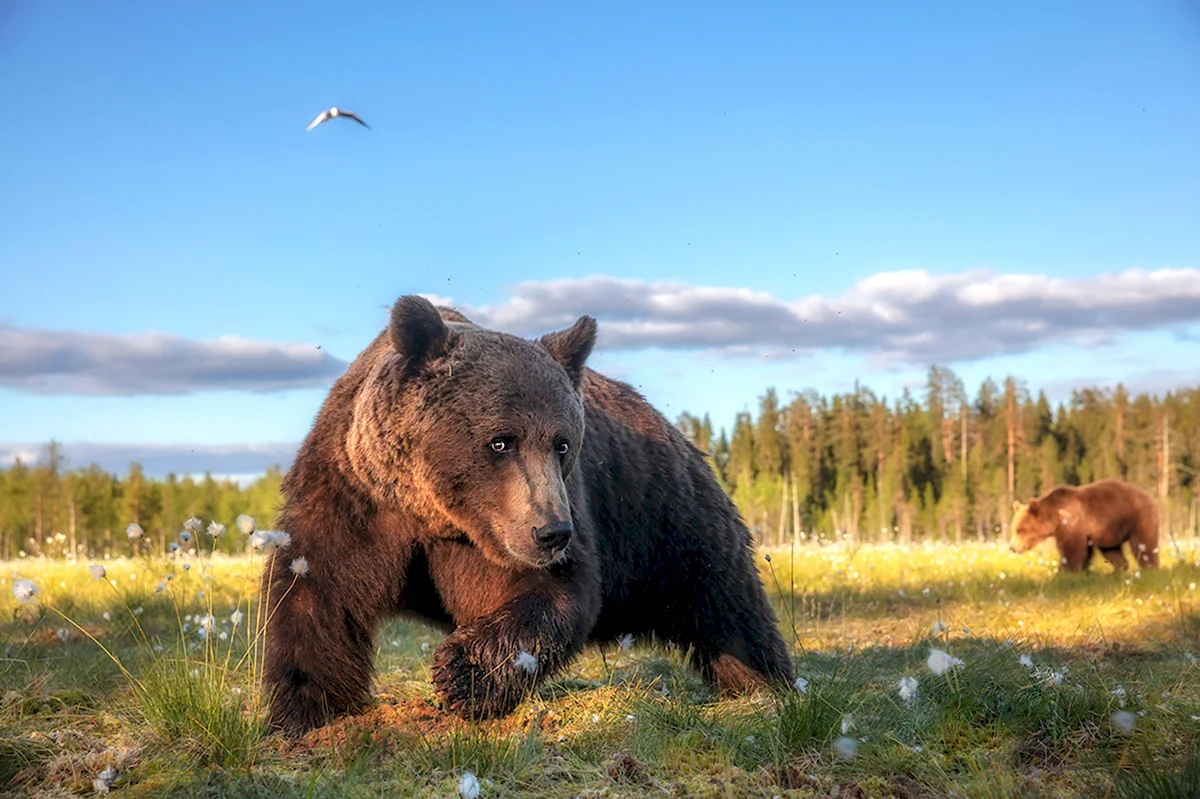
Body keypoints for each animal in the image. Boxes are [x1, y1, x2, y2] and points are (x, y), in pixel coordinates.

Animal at [258, 292, 792, 734]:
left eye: (563, 443)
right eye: (500, 441)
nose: (552, 532)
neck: (433, 514)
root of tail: (673, 429)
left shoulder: (521, 526)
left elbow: (550, 595)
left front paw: (461, 673)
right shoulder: (354, 497)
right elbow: (315, 595)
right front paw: (305, 713)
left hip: (666, 521)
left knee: (728, 607)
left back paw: (766, 686)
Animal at [1008, 475, 1156, 568]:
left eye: (1020, 530)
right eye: (1014, 529)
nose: (1012, 548)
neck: (1055, 517)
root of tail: (1146, 495)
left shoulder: (1072, 524)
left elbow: (1072, 551)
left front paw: (1064, 573)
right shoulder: (1085, 533)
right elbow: (1085, 553)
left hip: (1137, 518)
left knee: (1144, 544)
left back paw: (1150, 568)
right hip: (1109, 531)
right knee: (1112, 551)